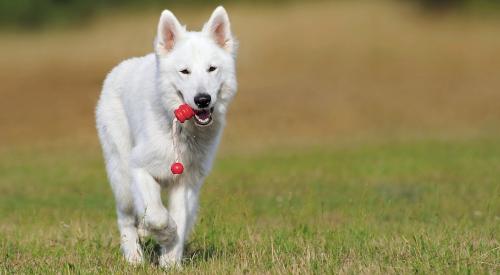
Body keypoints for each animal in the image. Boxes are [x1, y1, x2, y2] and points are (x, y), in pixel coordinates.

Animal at [96, 6, 238, 268]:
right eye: (185, 71)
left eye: (212, 69)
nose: (203, 100)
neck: (181, 129)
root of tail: (119, 69)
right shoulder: (139, 168)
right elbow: (158, 215)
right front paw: (165, 235)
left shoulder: (185, 182)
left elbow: (179, 218)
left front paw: (170, 261)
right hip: (121, 175)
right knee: (126, 217)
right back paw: (133, 257)